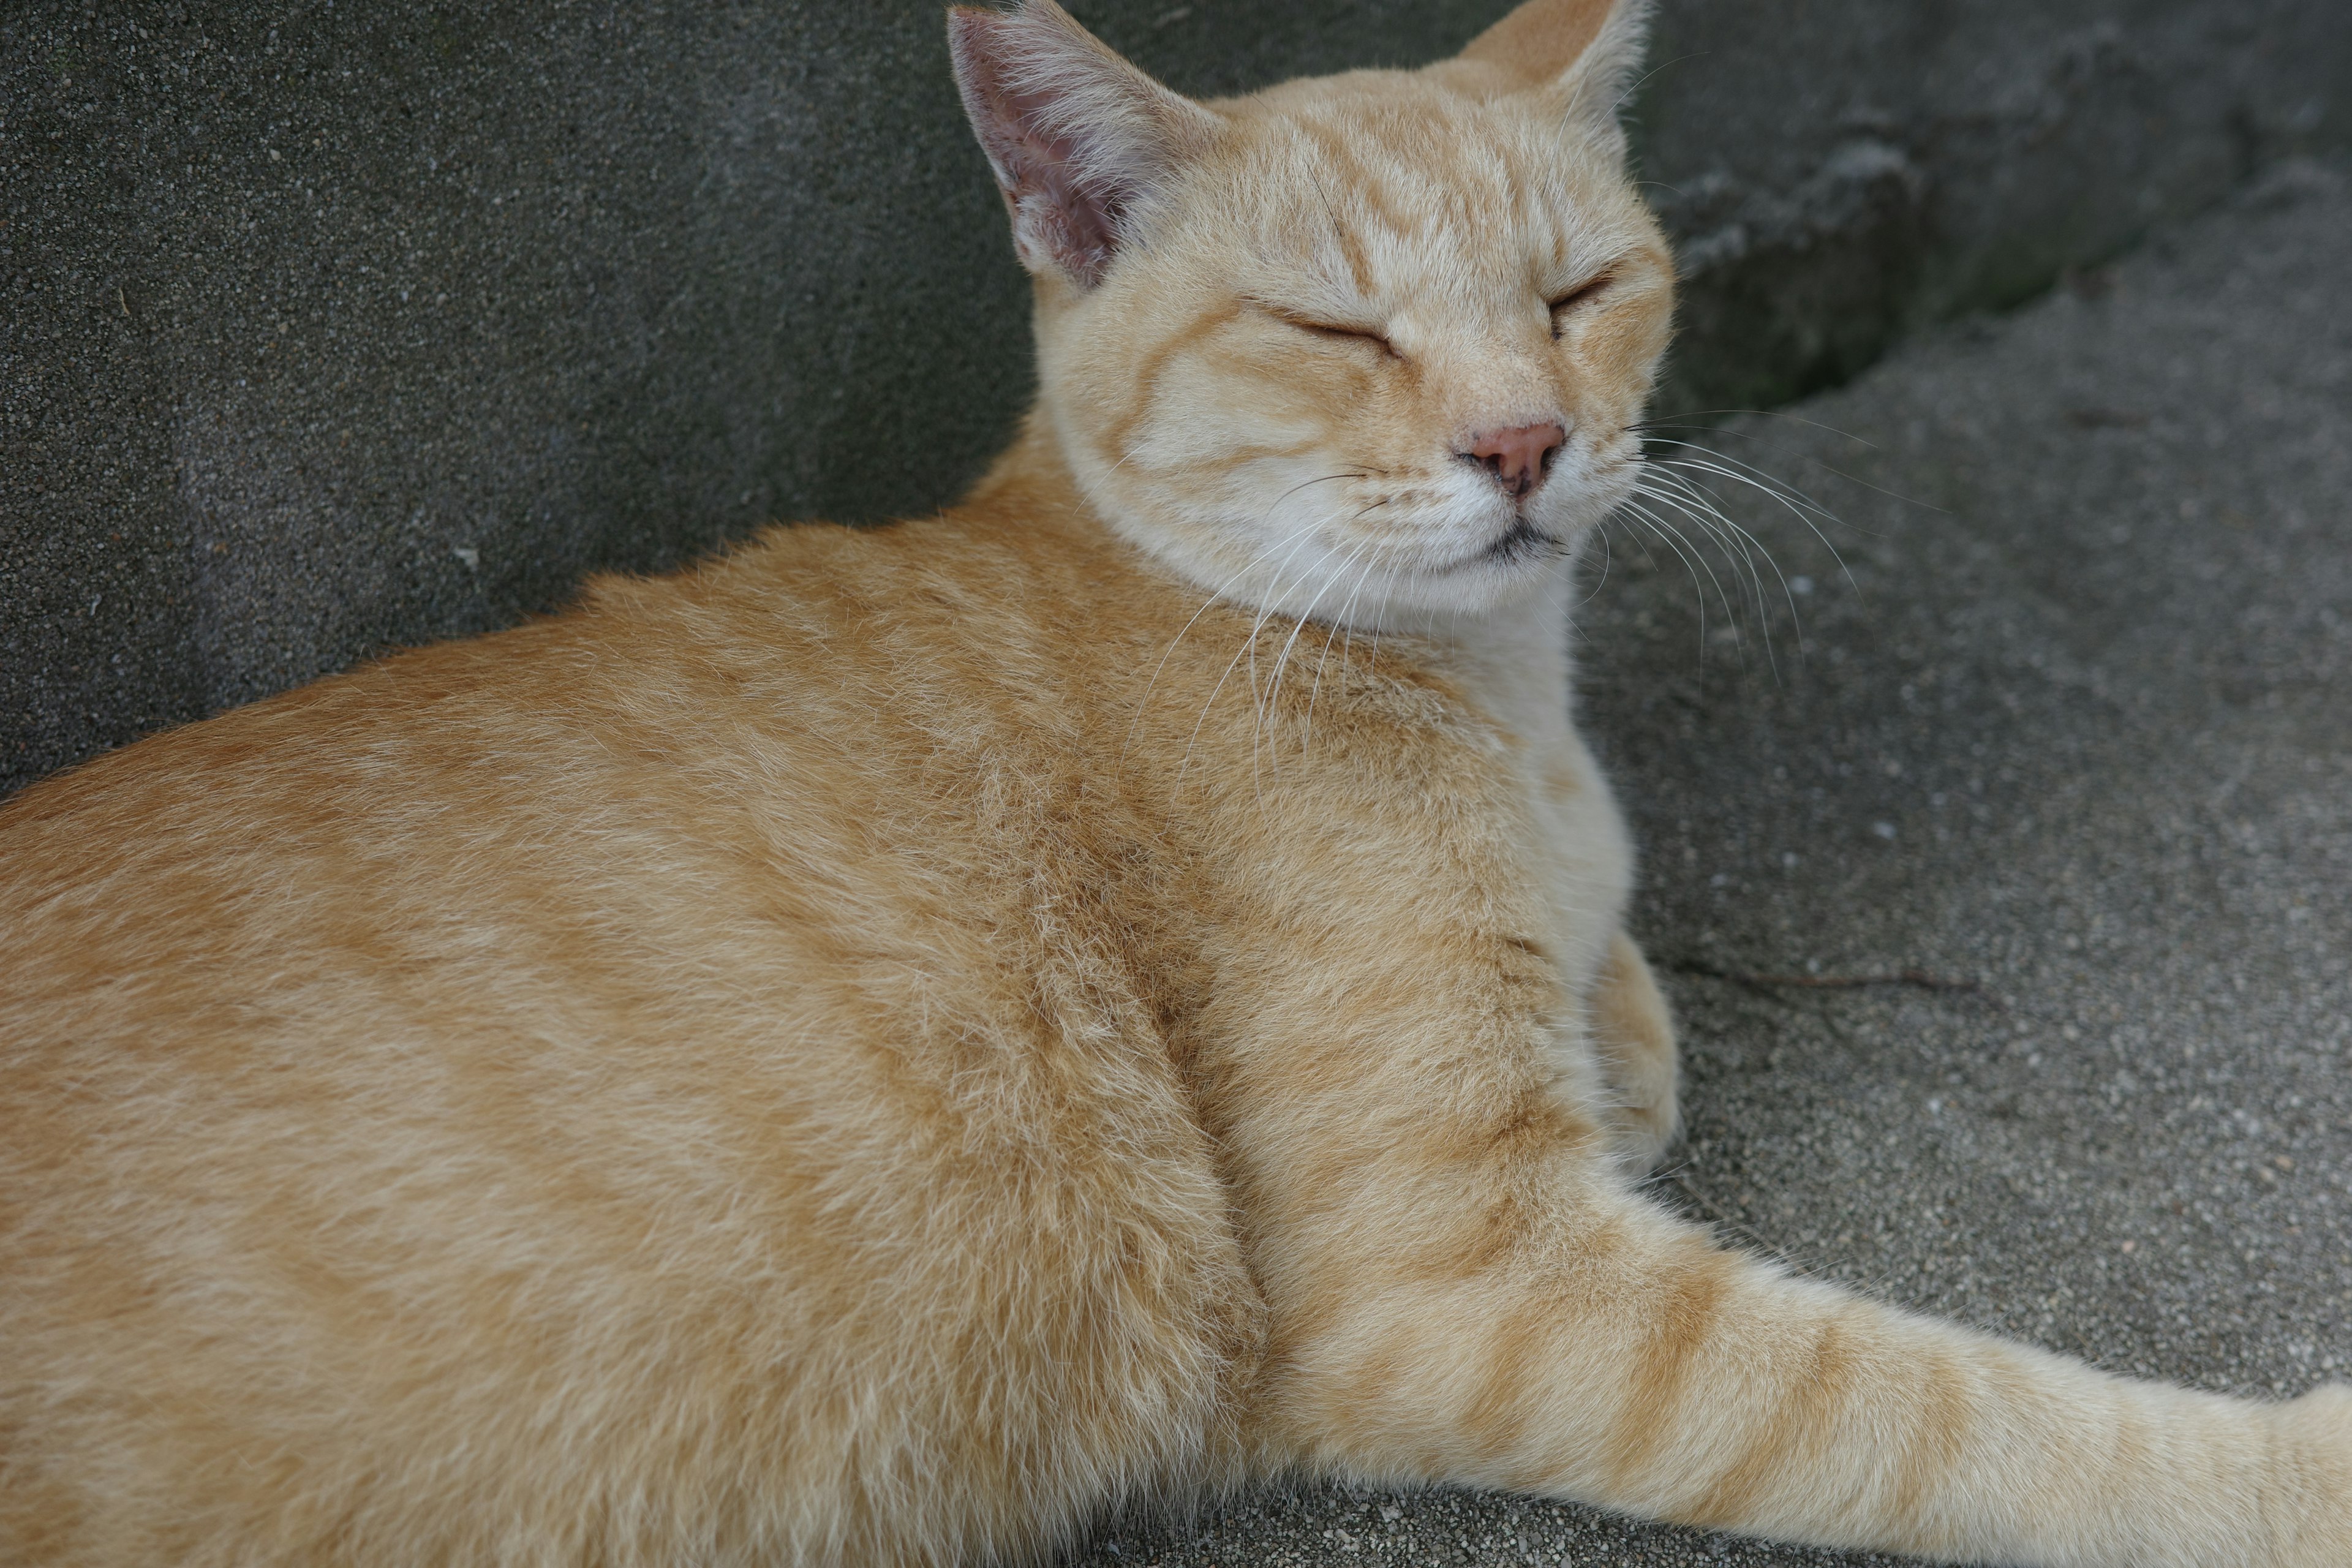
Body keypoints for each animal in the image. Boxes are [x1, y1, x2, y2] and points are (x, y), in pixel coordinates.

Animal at [4, 3, 2352, 1568]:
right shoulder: (1474, 1288)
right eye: (1337, 332)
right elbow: (1969, 1416)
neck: (1495, 700)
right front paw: (2294, 1471)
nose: (1524, 442)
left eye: (1575, 293)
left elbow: (1630, 1015)